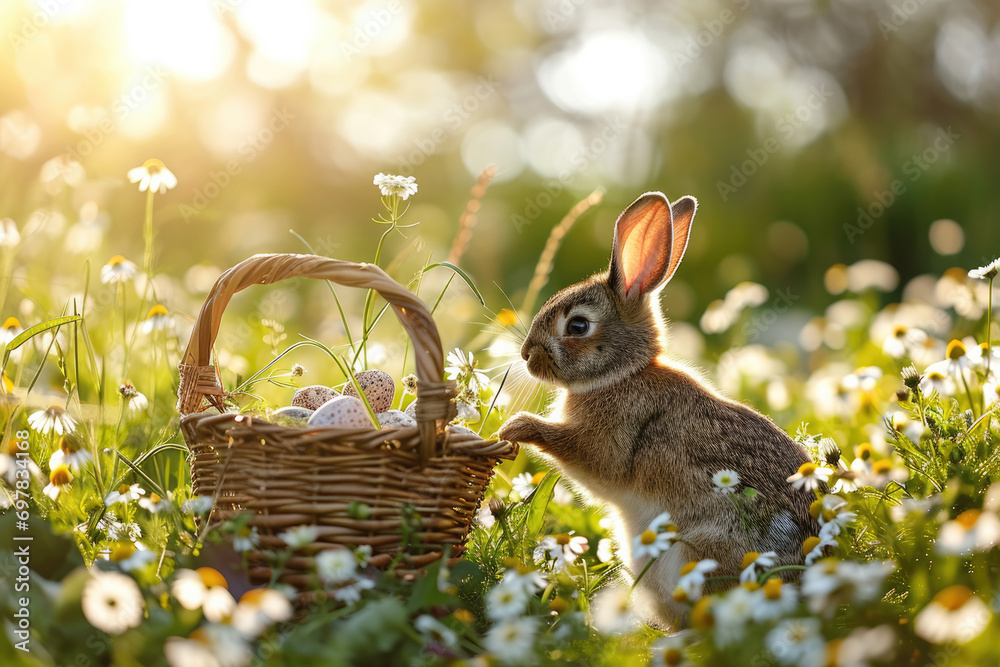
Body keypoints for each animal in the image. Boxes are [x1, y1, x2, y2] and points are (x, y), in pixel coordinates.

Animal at [500, 190, 820, 628]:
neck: (622, 375)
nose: (526, 355)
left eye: (578, 326)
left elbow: (581, 454)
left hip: (693, 554)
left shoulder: (609, 442)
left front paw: (515, 427)